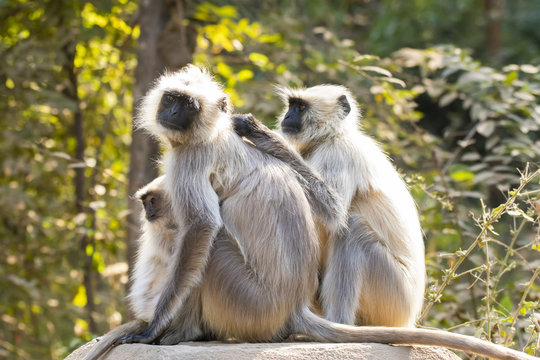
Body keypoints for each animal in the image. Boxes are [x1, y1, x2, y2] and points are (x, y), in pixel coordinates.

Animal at [85, 66, 536, 360]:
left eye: (187, 105)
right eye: (173, 99)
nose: (172, 114)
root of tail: (293, 305)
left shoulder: (190, 157)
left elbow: (201, 227)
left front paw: (152, 329)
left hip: (254, 301)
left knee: (341, 230)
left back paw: (188, 333)